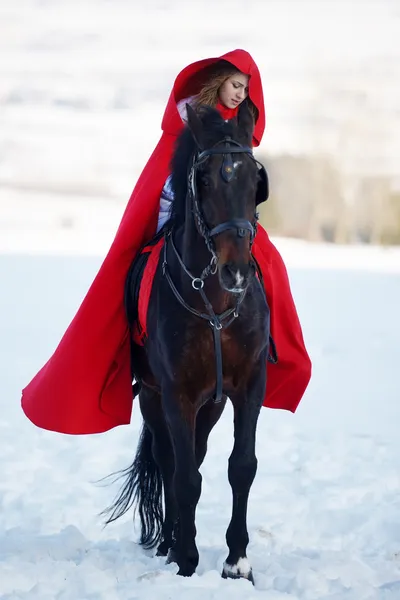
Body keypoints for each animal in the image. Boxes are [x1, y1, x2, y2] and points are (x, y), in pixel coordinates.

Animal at [101, 101, 274, 584]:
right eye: (208, 178)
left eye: (255, 180)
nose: (236, 271)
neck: (215, 304)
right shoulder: (175, 393)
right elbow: (183, 478)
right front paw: (185, 557)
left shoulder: (249, 386)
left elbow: (242, 466)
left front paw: (237, 561)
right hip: (154, 396)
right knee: (168, 460)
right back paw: (168, 541)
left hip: (209, 405)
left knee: (193, 454)